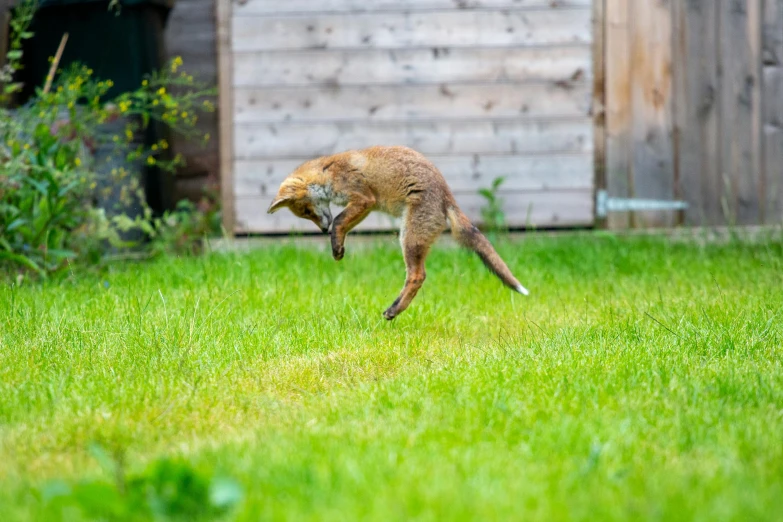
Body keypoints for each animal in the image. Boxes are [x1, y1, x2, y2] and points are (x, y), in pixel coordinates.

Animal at [266, 144, 528, 318]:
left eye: (306, 210)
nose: (322, 230)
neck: (328, 170)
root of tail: (446, 195)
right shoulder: (366, 206)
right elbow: (343, 224)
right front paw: (338, 246)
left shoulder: (363, 198)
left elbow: (339, 221)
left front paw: (336, 247)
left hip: (409, 238)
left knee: (417, 276)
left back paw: (393, 310)